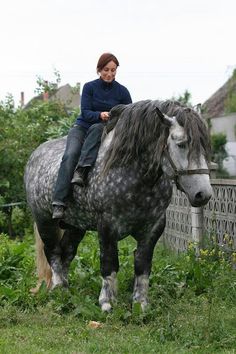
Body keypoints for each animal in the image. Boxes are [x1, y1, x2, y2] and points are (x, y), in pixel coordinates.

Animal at [24, 99, 212, 310]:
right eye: (181, 144)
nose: (203, 194)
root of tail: (34, 157)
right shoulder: (107, 225)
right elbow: (109, 263)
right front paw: (107, 302)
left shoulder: (153, 228)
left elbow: (142, 265)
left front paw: (140, 303)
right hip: (44, 220)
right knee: (53, 252)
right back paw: (58, 289)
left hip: (75, 226)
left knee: (67, 252)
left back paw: (66, 289)